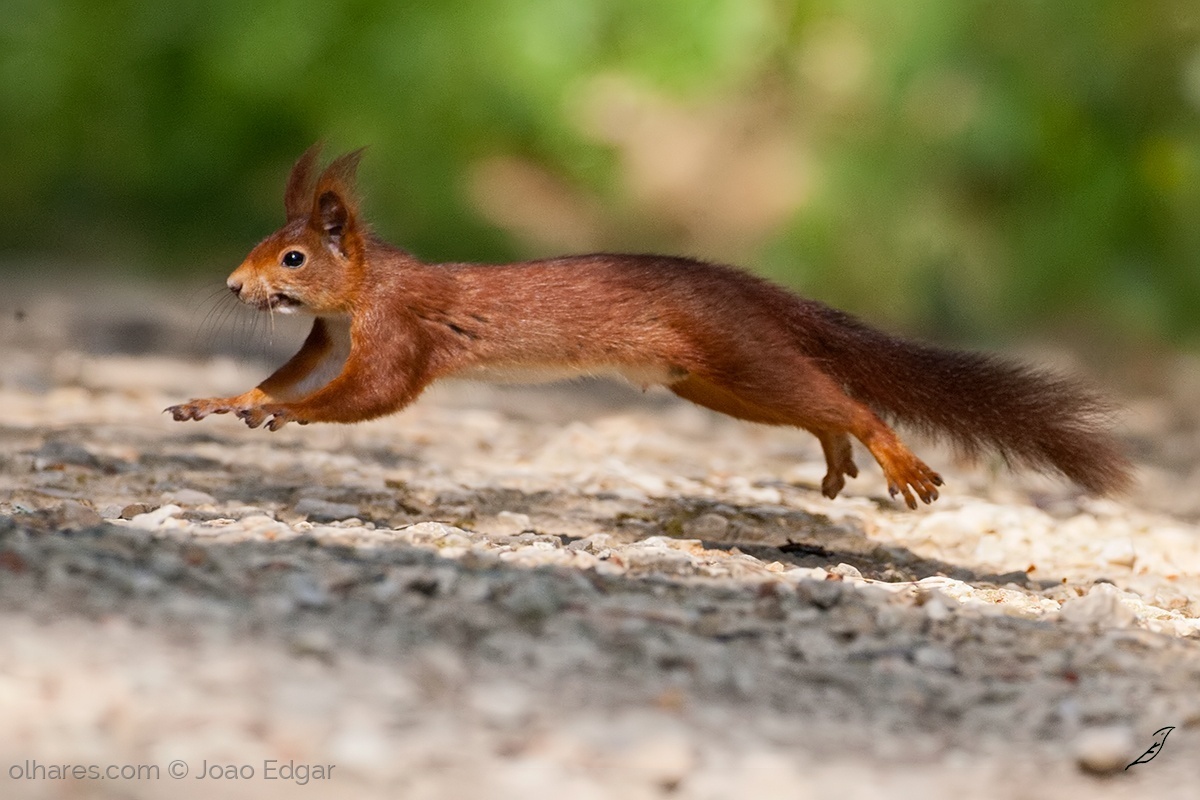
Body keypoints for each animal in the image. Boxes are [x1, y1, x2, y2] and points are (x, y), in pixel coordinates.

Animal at [169, 145, 1132, 506]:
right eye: (262, 246)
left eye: (294, 258)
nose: (234, 284)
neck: (360, 292)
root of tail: (749, 293)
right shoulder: (327, 338)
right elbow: (291, 375)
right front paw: (225, 399)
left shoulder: (399, 329)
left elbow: (367, 395)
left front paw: (284, 414)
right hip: (713, 384)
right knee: (817, 404)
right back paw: (835, 455)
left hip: (739, 358)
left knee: (846, 399)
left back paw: (890, 455)